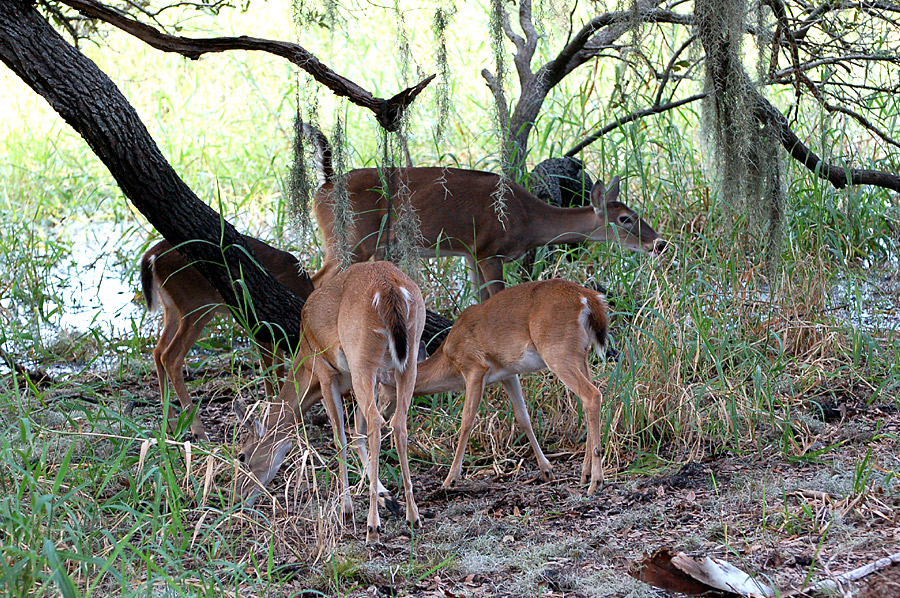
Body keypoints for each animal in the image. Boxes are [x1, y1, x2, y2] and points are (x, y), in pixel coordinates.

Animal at [142, 238, 316, 440]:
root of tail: (151, 256)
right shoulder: (263, 324)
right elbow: (273, 368)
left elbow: (275, 367)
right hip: (195, 303)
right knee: (170, 357)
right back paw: (198, 430)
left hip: (172, 307)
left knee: (158, 350)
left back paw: (169, 424)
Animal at [236, 262, 426, 544]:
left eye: (242, 456)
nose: (236, 499)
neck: (304, 361)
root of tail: (388, 288)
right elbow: (356, 434)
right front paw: (388, 498)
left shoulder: (326, 373)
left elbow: (340, 438)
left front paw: (346, 508)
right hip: (407, 359)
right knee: (397, 423)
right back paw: (413, 516)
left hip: (361, 358)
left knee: (376, 423)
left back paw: (372, 527)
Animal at [306, 123, 664, 300]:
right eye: (626, 219)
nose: (658, 243)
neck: (529, 220)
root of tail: (324, 186)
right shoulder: (490, 251)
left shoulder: (470, 253)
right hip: (351, 239)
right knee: (317, 280)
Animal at [380, 282, 612, 496]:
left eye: (380, 389)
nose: (381, 414)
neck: (449, 358)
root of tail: (588, 299)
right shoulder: (508, 373)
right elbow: (523, 417)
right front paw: (547, 470)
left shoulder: (474, 367)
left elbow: (467, 421)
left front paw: (450, 479)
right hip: (581, 353)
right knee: (588, 397)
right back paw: (585, 474)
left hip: (557, 349)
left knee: (592, 395)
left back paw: (596, 481)